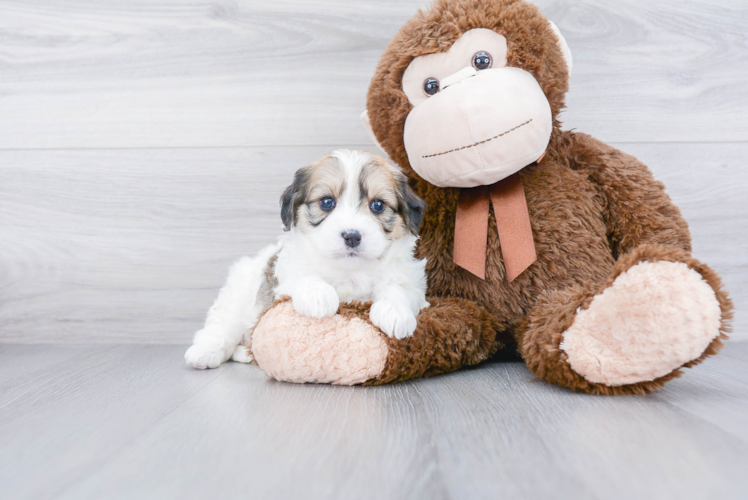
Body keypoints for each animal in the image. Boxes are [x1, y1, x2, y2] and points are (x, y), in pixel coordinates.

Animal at [185, 150, 430, 370]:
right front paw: (318, 296)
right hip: (236, 299)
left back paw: (245, 353)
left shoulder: (411, 282)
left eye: (378, 205)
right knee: (220, 327)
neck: (349, 270)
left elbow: (398, 289)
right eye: (327, 202)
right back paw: (205, 352)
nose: (352, 236)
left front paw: (394, 312)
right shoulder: (286, 274)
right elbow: (303, 275)